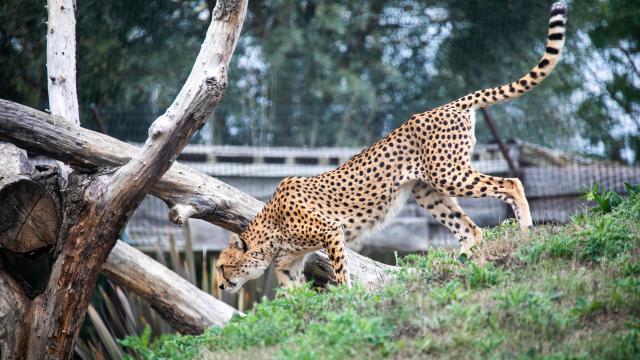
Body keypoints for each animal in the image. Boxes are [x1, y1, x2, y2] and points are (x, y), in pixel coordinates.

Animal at [218, 2, 568, 292]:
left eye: (222, 267)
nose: (221, 285)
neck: (269, 230)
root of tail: (449, 104)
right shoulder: (289, 263)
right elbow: (291, 291)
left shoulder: (331, 231)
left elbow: (341, 271)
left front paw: (347, 298)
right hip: (428, 192)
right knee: (471, 230)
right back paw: (462, 264)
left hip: (448, 173)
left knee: (511, 183)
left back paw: (525, 228)